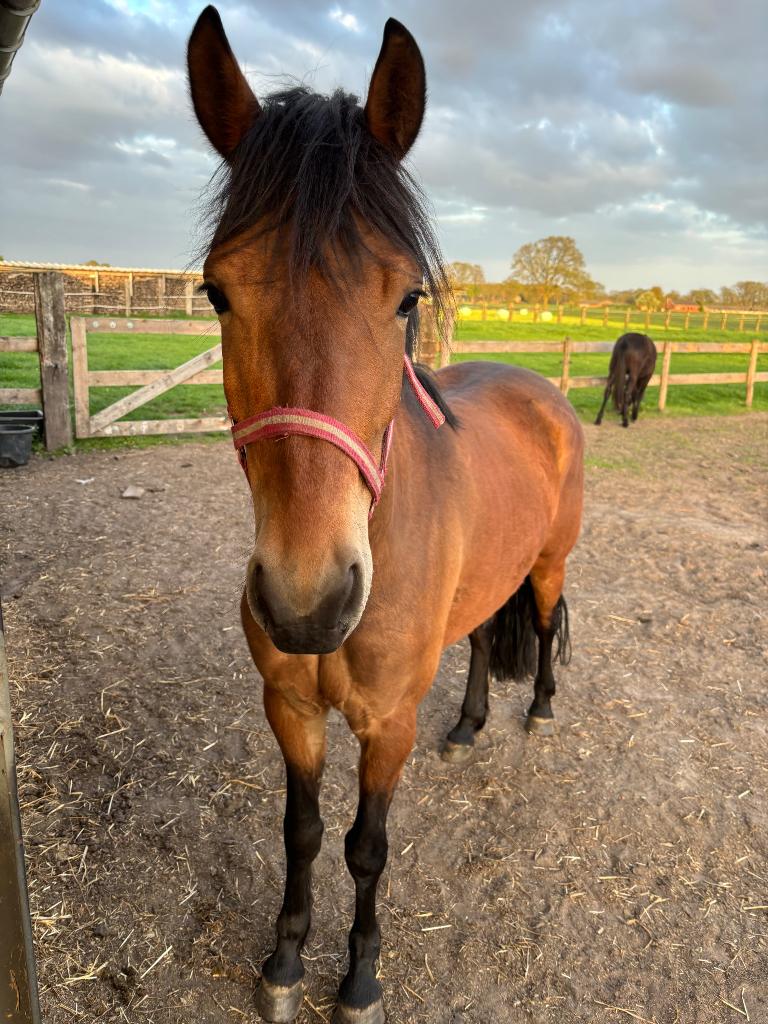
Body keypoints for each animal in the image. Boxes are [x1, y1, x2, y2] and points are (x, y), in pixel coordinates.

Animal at [187, 8, 584, 1022]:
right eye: (217, 291)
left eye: (406, 295)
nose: (308, 603)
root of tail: (541, 388)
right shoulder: (289, 706)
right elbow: (301, 830)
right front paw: (285, 962)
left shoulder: (385, 725)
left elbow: (366, 846)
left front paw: (360, 974)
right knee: (482, 639)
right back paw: (472, 724)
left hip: (549, 563)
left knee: (544, 622)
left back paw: (538, 713)